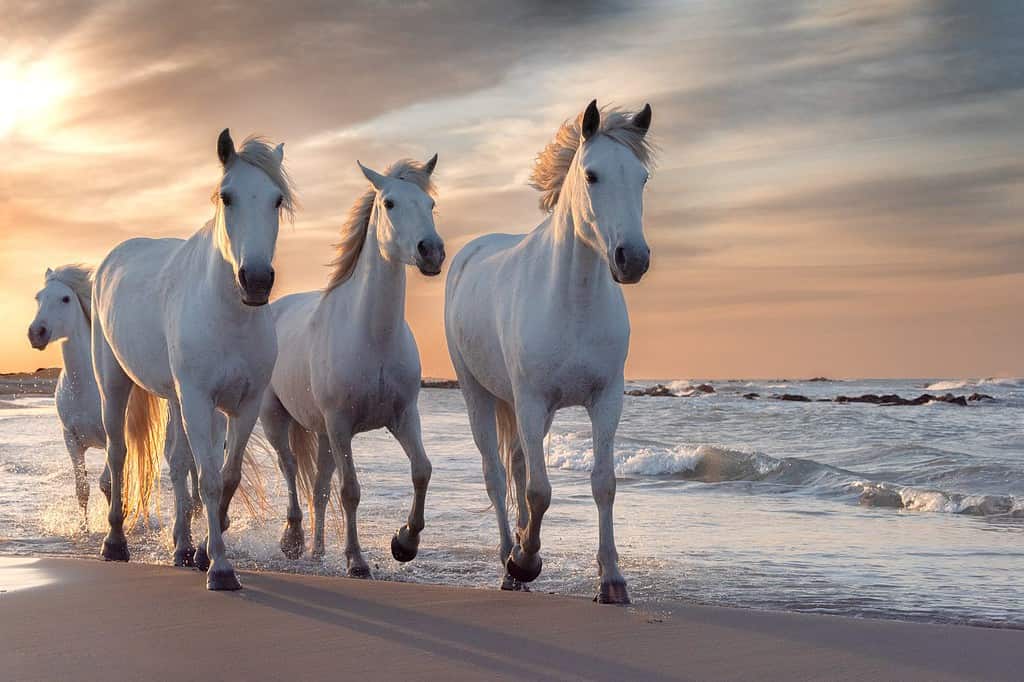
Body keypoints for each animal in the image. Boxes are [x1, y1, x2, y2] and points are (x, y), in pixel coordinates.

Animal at [28, 262, 201, 518]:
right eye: (38, 298)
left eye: (65, 298)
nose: (36, 333)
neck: (83, 387)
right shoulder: (71, 440)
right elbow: (83, 490)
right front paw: (85, 526)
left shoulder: (114, 436)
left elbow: (107, 484)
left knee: (191, 465)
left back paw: (197, 509)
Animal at [92, 130, 292, 585]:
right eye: (227, 197)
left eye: (276, 200)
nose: (256, 280)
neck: (229, 315)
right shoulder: (199, 401)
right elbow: (210, 481)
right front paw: (220, 568)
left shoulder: (243, 405)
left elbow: (226, 477)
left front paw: (203, 552)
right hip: (114, 384)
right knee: (118, 454)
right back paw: (115, 543)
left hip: (175, 398)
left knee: (177, 462)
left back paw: (182, 547)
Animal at [258, 153, 442, 573]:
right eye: (389, 203)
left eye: (430, 204)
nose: (431, 251)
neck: (372, 336)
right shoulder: (341, 424)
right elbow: (351, 490)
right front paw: (356, 560)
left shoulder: (403, 416)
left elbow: (421, 471)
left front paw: (404, 543)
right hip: (277, 419)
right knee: (290, 468)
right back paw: (293, 540)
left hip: (323, 434)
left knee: (318, 488)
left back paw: (317, 551)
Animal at [444, 100, 651, 602]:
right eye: (592, 175)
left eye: (642, 178)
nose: (632, 259)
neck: (573, 302)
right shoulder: (532, 401)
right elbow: (539, 491)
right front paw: (525, 562)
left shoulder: (605, 401)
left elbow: (603, 484)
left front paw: (612, 580)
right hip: (478, 394)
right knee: (497, 475)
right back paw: (509, 559)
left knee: (518, 466)